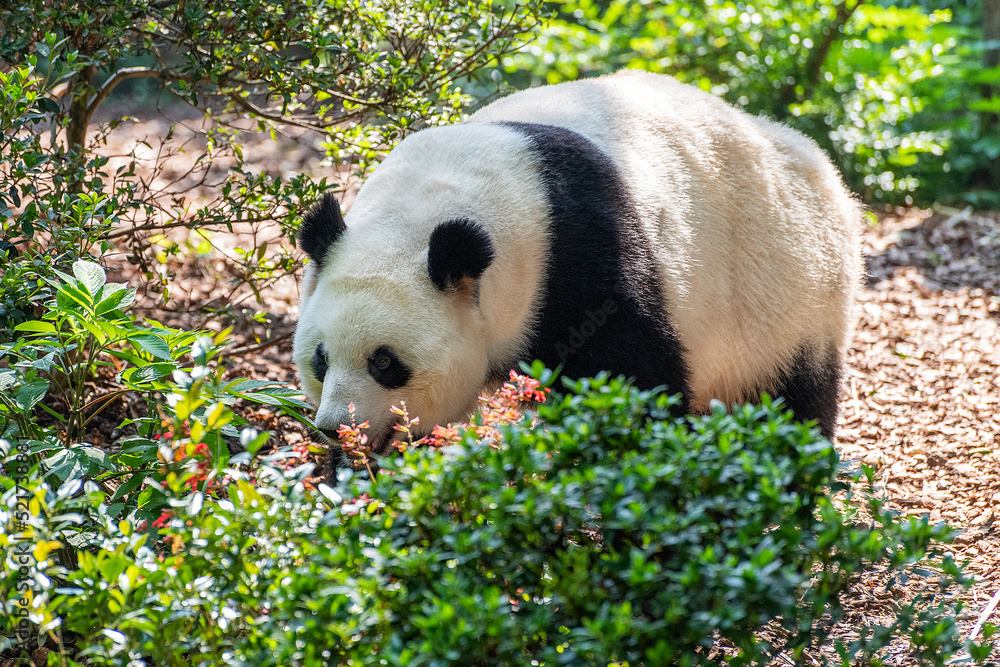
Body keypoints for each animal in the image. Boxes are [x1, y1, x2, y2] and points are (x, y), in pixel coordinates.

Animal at [292, 69, 864, 464]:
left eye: (385, 363)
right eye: (320, 359)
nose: (336, 428)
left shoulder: (583, 261)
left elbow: (631, 380)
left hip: (787, 291)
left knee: (791, 396)